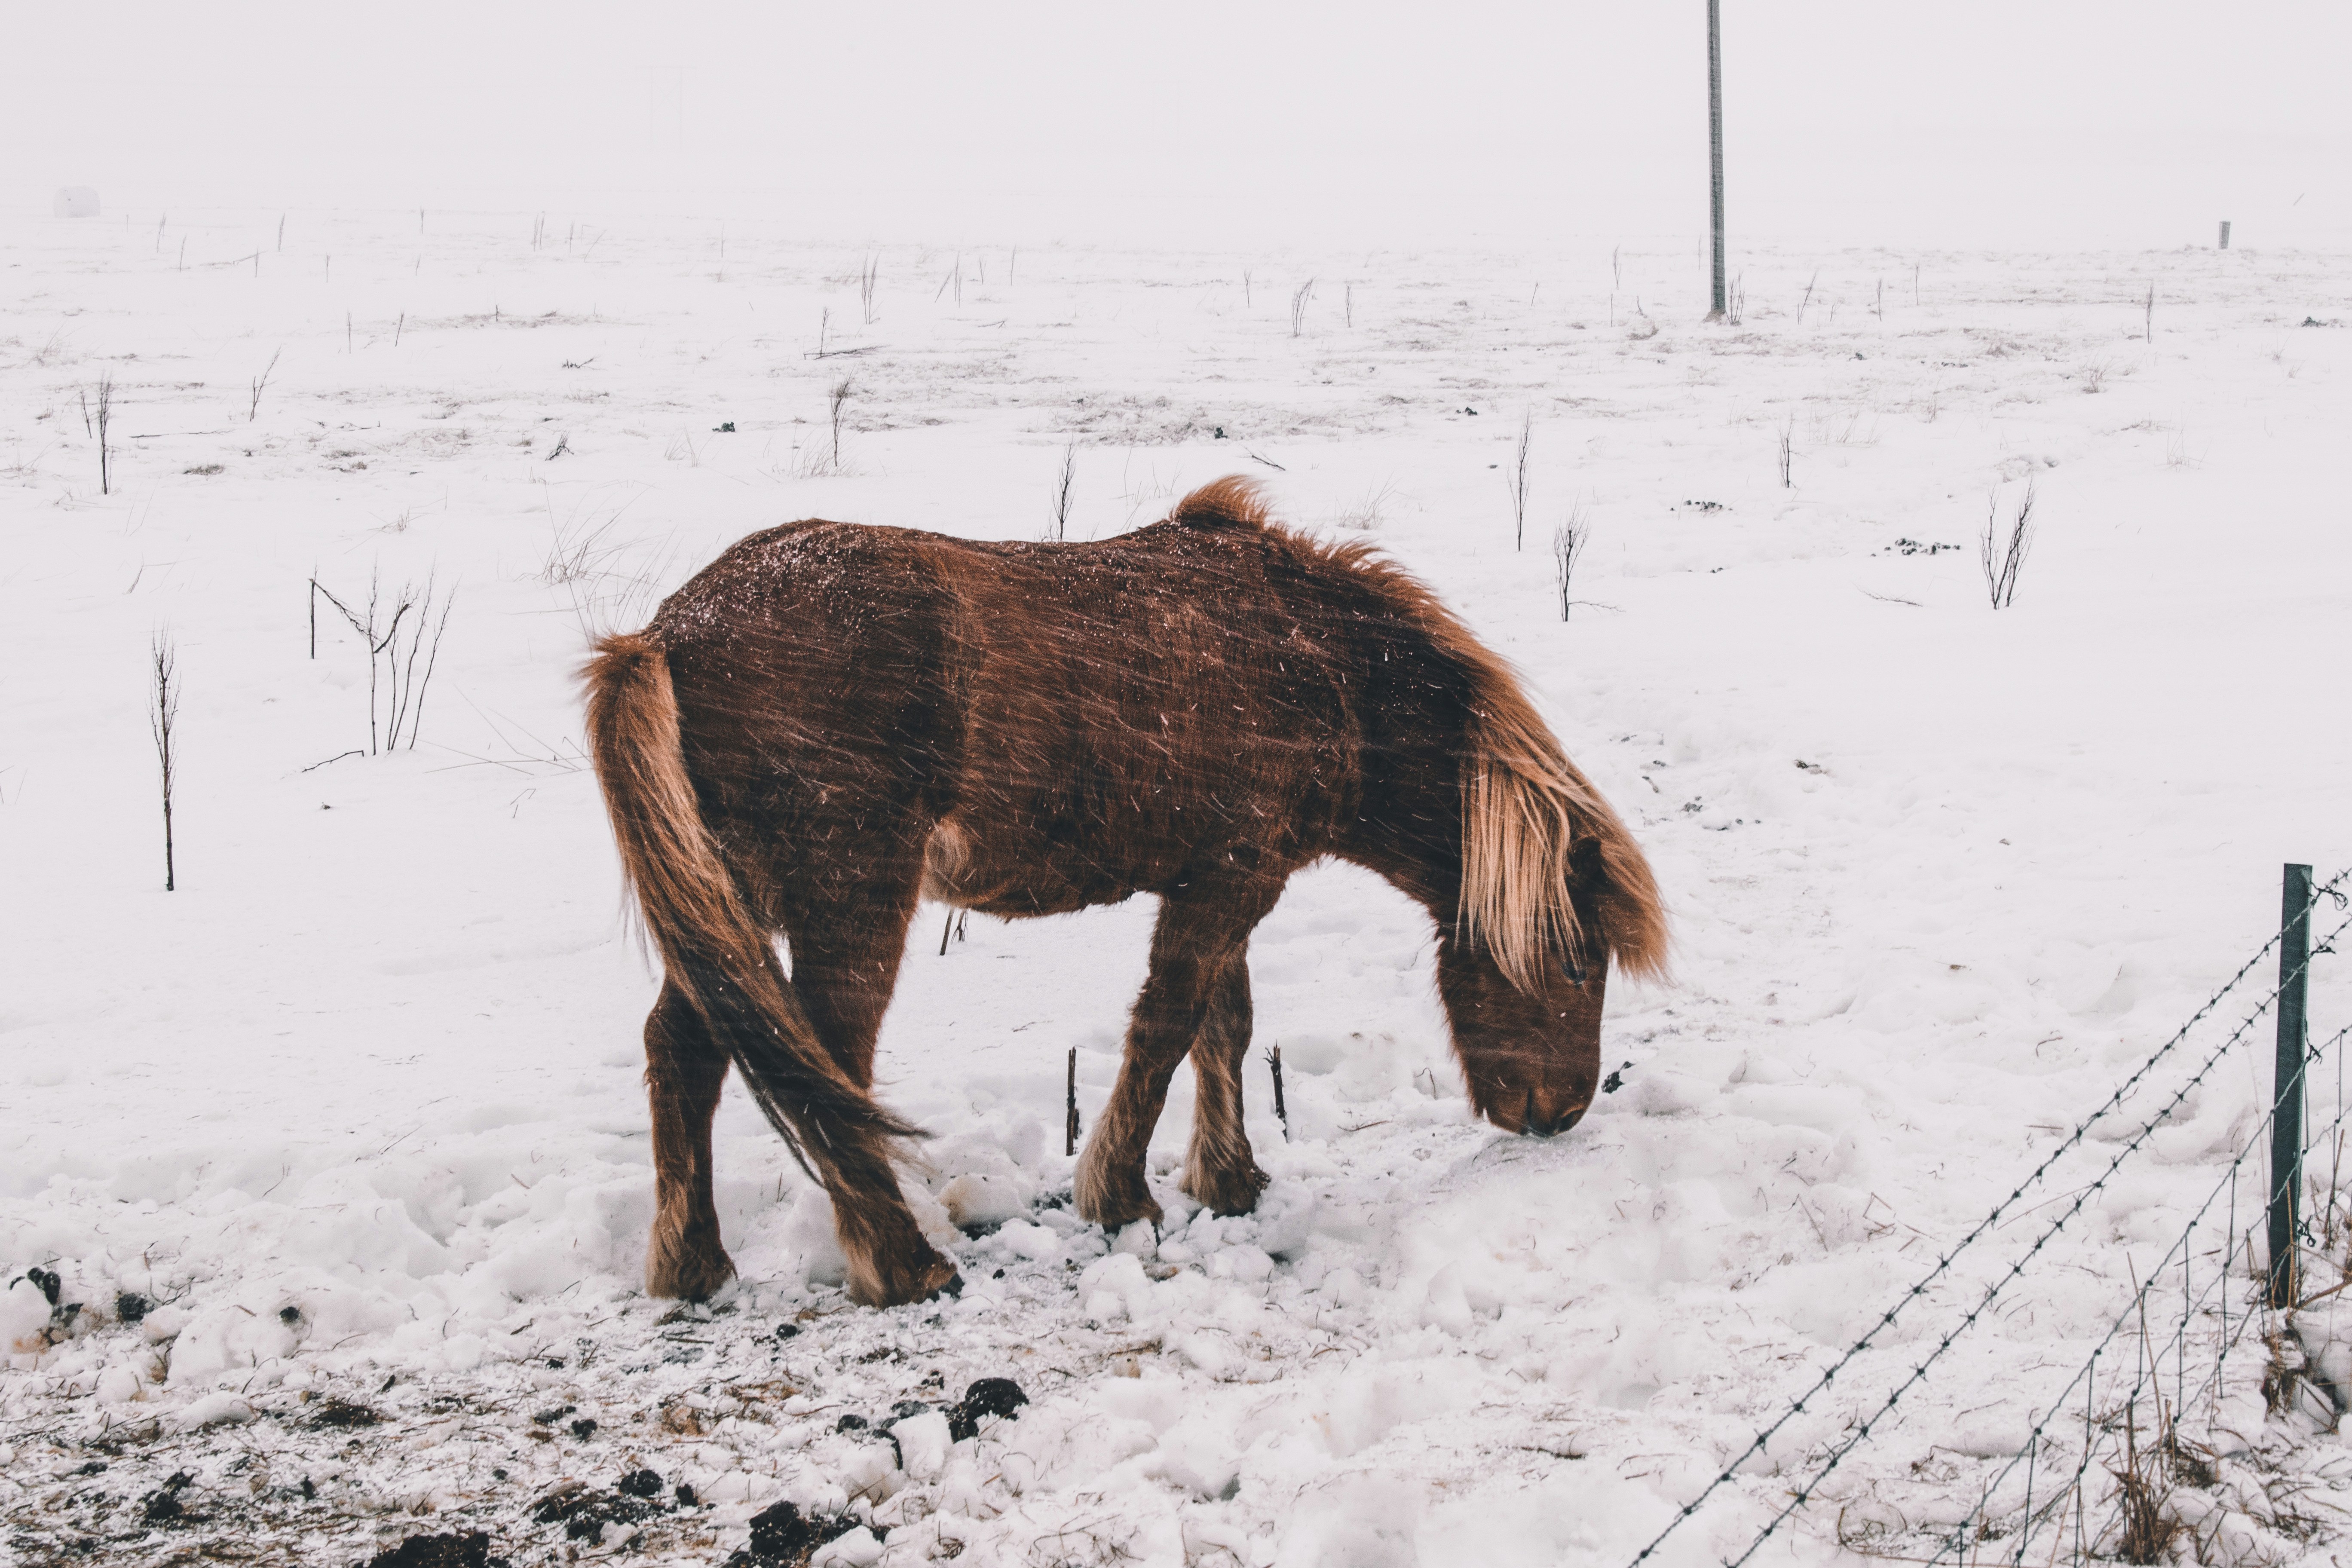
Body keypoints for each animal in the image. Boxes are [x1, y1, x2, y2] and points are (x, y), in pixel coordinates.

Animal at [583, 477, 1665, 1307]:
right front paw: (1123, 1196)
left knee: (685, 1051)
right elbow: (1168, 1025)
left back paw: (694, 1267)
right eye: (1577, 960)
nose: (1559, 1112)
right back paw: (901, 1265)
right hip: (851, 899)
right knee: (830, 1070)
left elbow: (1224, 1026)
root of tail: (669, 636)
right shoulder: (1231, 880)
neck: (1321, 666)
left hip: (731, 905)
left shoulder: (1229, 876)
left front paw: (1228, 1178)